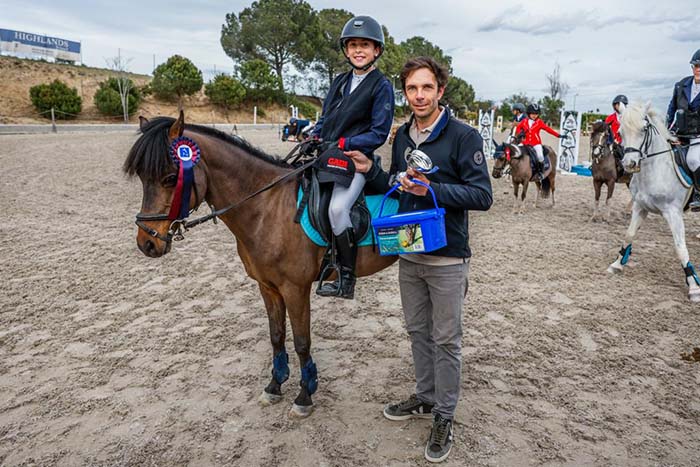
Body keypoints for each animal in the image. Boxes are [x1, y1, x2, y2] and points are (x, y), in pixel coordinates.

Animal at [121, 113, 394, 416]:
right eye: (143, 177)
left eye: (171, 178)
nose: (147, 242)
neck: (267, 208)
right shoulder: (268, 287)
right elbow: (276, 335)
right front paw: (275, 385)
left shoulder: (295, 289)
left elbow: (302, 342)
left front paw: (305, 395)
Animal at [608, 101, 700, 304]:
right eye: (622, 131)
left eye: (644, 129)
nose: (630, 163)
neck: (655, 169)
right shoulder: (640, 208)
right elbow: (628, 235)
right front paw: (617, 263)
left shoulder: (673, 213)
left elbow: (680, 248)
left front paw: (694, 287)